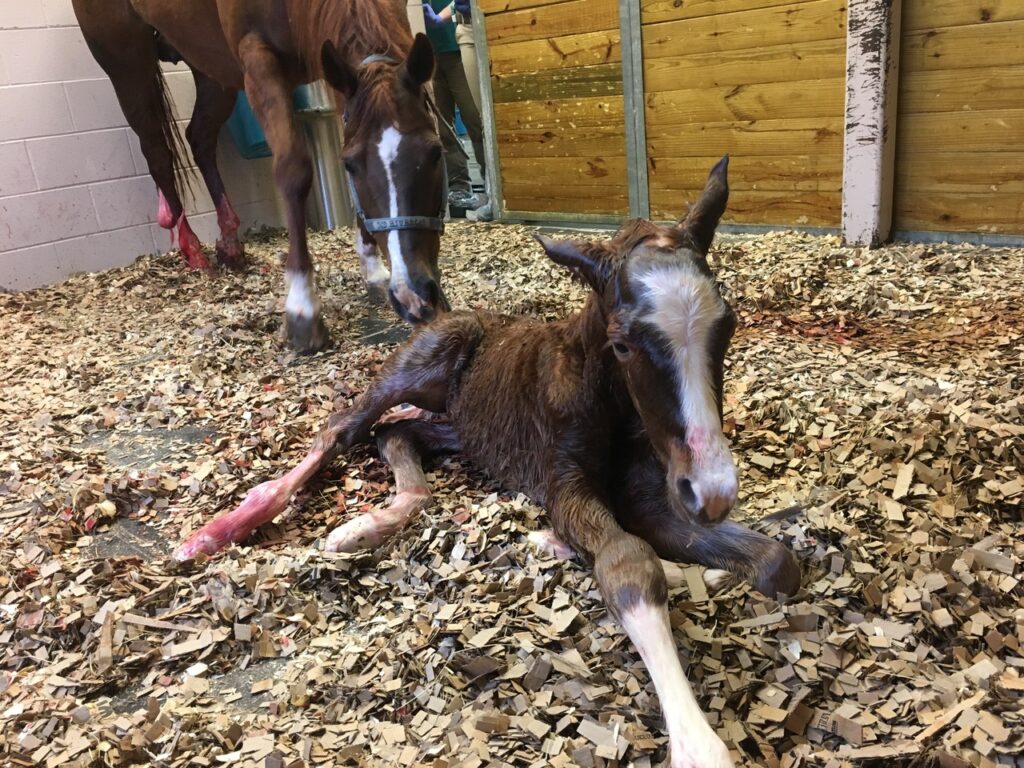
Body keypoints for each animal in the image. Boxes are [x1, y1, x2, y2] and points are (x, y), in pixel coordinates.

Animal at [71, 0, 452, 353]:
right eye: (350, 166)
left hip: (211, 67)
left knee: (200, 139)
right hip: (127, 61)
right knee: (158, 152)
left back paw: (228, 242)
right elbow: (293, 170)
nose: (414, 297)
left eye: (436, 152)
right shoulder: (257, 59)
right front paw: (302, 308)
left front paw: (373, 269)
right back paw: (191, 246)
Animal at [173, 157, 800, 768]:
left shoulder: (655, 496)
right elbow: (627, 562)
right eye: (623, 343)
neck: (607, 400)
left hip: (465, 427)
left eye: (728, 326)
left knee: (396, 434)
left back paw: (367, 525)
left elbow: (776, 562)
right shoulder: (565, 483)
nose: (714, 492)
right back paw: (218, 532)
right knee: (347, 426)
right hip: (419, 368)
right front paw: (698, 745)